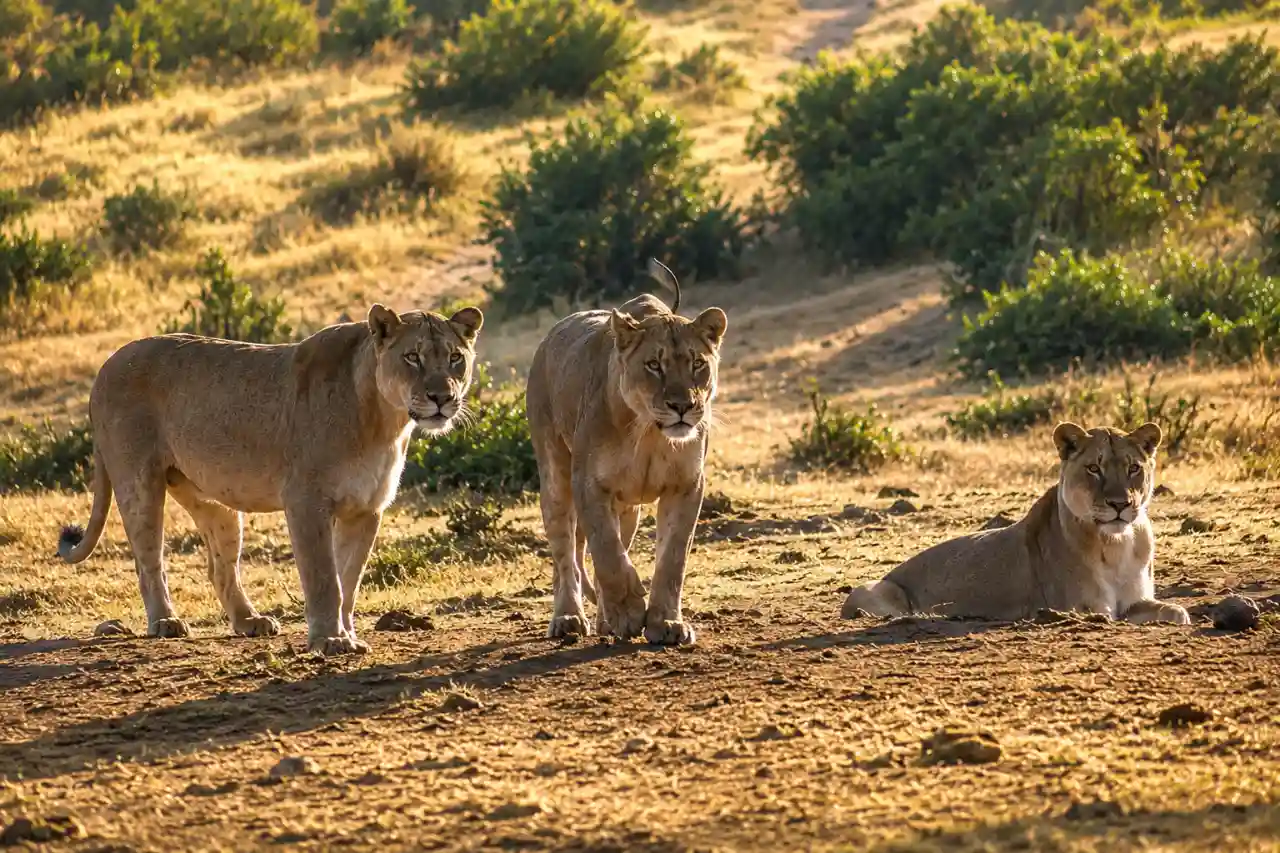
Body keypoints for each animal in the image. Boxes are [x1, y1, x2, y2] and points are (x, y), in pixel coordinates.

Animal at [57, 303, 484, 655]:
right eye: (412, 357)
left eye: (455, 358)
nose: (442, 398)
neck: (384, 421)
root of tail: (107, 363)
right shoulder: (306, 500)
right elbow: (324, 577)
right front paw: (329, 640)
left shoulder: (366, 508)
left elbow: (349, 580)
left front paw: (348, 634)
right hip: (139, 482)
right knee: (149, 562)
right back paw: (165, 621)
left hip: (214, 501)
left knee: (220, 568)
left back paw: (250, 621)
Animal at [525, 259, 728, 645]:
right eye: (654, 365)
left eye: (697, 364)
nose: (683, 406)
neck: (649, 434)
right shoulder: (589, 484)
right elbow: (607, 553)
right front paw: (630, 613)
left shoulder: (687, 485)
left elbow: (671, 559)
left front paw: (666, 623)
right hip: (555, 477)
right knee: (565, 554)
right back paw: (568, 617)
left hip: (628, 507)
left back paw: (605, 620)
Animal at [841, 422, 1191, 626]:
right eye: (1094, 468)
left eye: (1134, 468)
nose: (1120, 505)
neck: (1116, 544)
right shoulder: (1084, 609)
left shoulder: (1133, 599)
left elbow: (1170, 610)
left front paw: (1176, 614)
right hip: (876, 592)